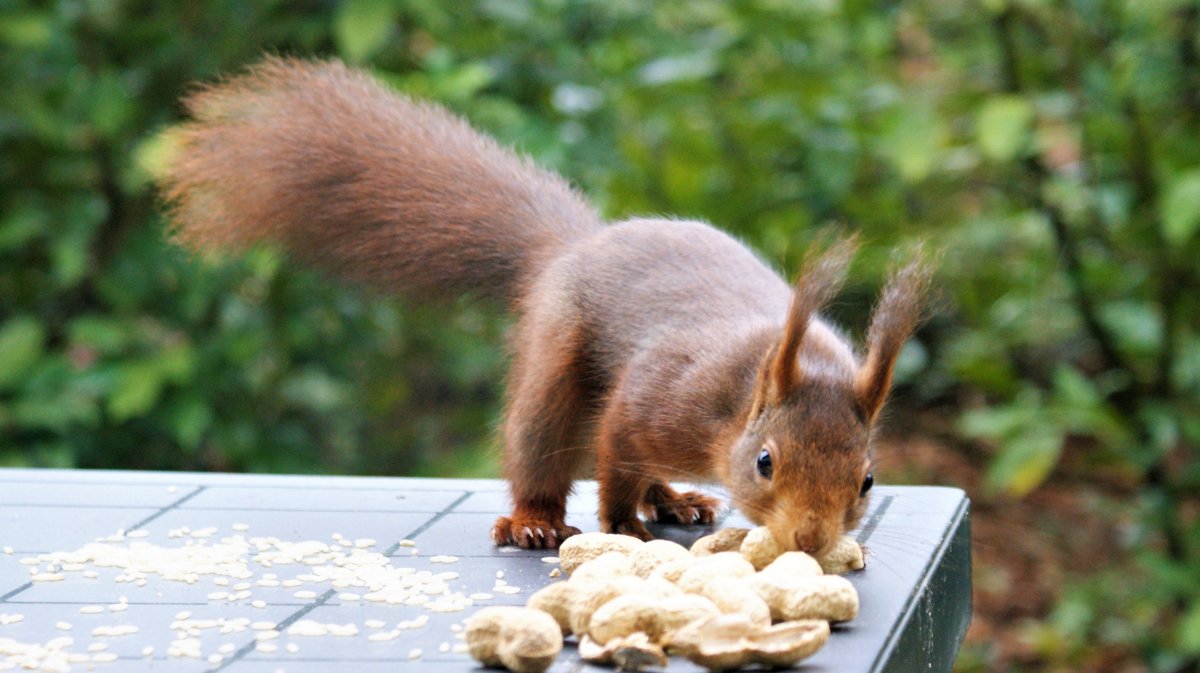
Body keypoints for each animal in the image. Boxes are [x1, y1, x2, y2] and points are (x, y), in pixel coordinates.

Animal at [159, 57, 926, 554]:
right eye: (765, 462)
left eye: (867, 479)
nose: (810, 539)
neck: (746, 391)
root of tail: (577, 244)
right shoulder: (658, 400)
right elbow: (615, 453)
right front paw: (623, 526)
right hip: (555, 358)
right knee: (543, 439)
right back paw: (536, 520)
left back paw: (676, 497)